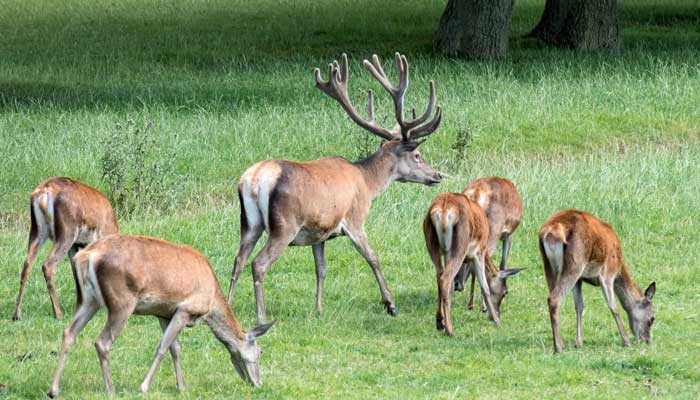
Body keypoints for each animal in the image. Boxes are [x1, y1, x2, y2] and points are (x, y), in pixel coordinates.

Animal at [12, 177, 117, 320]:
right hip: (66, 233)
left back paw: (16, 314)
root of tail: (43, 193)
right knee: (48, 265)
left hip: (37, 231)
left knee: (27, 264)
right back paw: (58, 313)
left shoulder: (75, 246)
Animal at [47, 234, 274, 396]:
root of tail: (85, 256)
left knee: (69, 333)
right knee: (102, 342)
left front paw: (181, 387)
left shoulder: (164, 314)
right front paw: (144, 387)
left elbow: (176, 349)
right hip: (121, 302)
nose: (258, 383)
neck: (211, 303)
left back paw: (53, 390)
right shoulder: (185, 309)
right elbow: (163, 347)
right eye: (260, 352)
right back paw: (111, 390)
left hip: (87, 299)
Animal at [227, 52, 440, 322]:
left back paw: (227, 305)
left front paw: (319, 309)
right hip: (284, 225)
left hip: (249, 222)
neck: (368, 182)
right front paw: (390, 304)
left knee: (238, 260)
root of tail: (254, 180)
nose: (437, 175)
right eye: (417, 156)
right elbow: (373, 257)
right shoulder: (355, 219)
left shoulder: (319, 231)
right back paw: (261, 316)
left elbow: (321, 268)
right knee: (259, 263)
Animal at [422, 192, 524, 336]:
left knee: (439, 277)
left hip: (432, 243)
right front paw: (497, 322)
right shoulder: (479, 252)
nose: (497, 313)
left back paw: (439, 322)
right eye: (505, 292)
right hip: (460, 246)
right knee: (445, 279)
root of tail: (443, 210)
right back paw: (450, 330)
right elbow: (485, 286)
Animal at [540, 209, 656, 354]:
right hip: (575, 263)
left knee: (552, 296)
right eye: (652, 318)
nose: (647, 340)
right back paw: (558, 347)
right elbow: (613, 306)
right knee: (554, 298)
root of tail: (551, 231)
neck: (619, 265)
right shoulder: (608, 273)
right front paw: (626, 341)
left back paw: (559, 342)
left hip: (548, 265)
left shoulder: (579, 279)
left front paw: (579, 343)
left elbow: (579, 306)